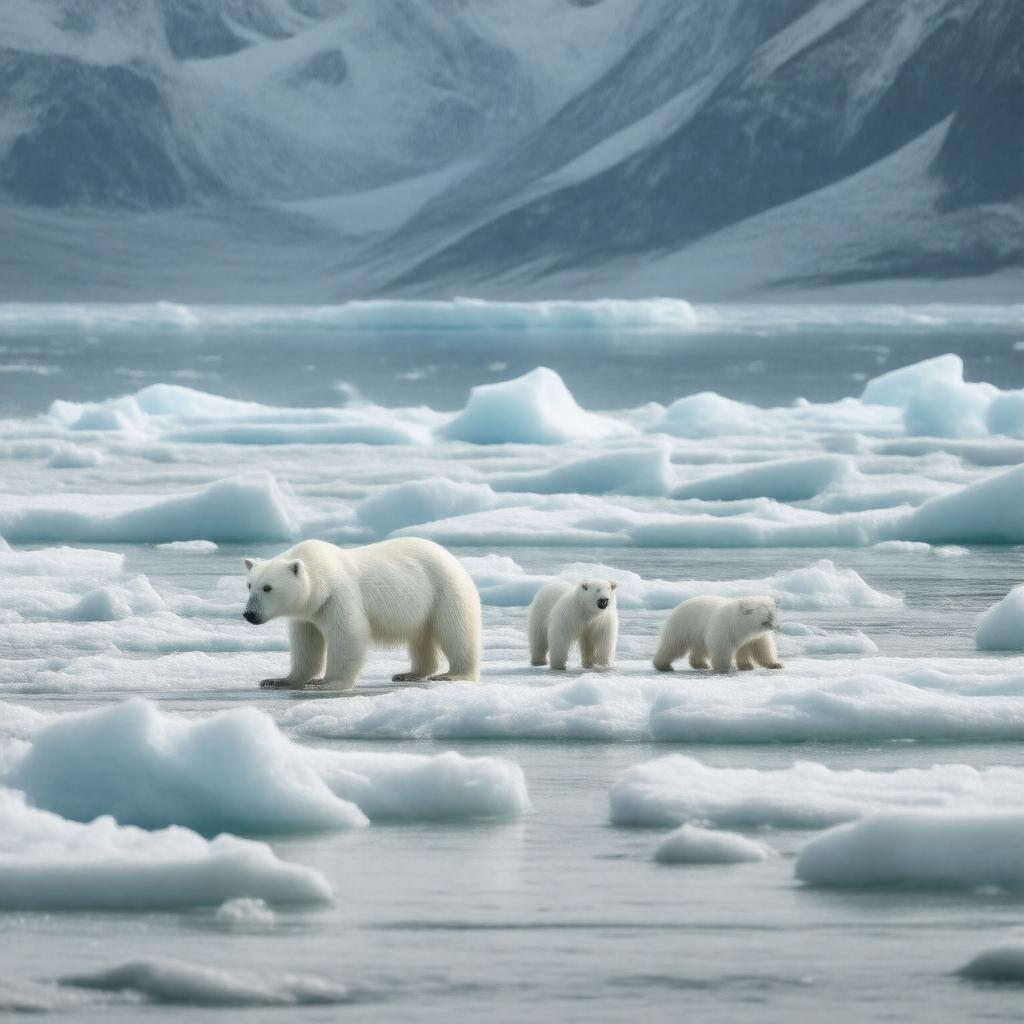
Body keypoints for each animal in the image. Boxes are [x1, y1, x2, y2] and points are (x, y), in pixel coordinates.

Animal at [242, 537, 481, 690]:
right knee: (420, 638)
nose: (249, 614)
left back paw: (453, 675)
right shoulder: (309, 613)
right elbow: (306, 644)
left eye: (268, 587)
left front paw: (325, 682)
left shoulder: (338, 596)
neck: (321, 577)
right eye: (249, 585)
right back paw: (409, 673)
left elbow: (347, 635)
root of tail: (451, 557)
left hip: (444, 591)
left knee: (456, 632)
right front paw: (277, 680)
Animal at [653, 595, 783, 673]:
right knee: (673, 645)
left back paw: (701, 664)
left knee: (700, 648)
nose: (776, 626)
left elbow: (762, 649)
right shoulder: (724, 629)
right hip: (683, 625)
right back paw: (663, 666)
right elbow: (722, 648)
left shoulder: (756, 637)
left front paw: (775, 664)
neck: (740, 624)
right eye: (768, 616)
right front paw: (727, 667)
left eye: (774, 614)